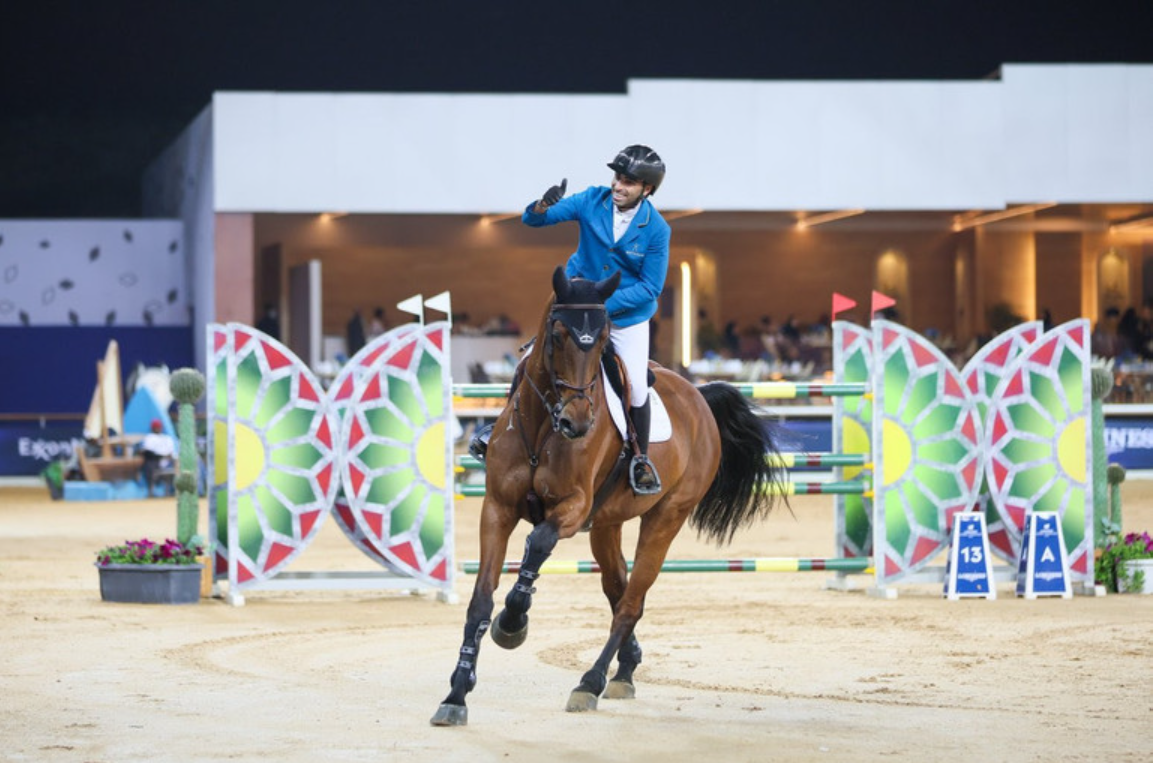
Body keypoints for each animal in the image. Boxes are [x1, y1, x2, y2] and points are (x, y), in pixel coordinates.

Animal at [428, 268, 788, 728]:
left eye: (602, 341)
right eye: (557, 334)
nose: (578, 423)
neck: (543, 425)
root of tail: (699, 397)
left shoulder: (571, 508)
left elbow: (537, 544)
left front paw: (512, 622)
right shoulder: (497, 509)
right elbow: (480, 600)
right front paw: (457, 692)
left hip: (666, 518)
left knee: (631, 603)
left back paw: (590, 682)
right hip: (606, 524)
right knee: (618, 590)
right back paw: (625, 669)